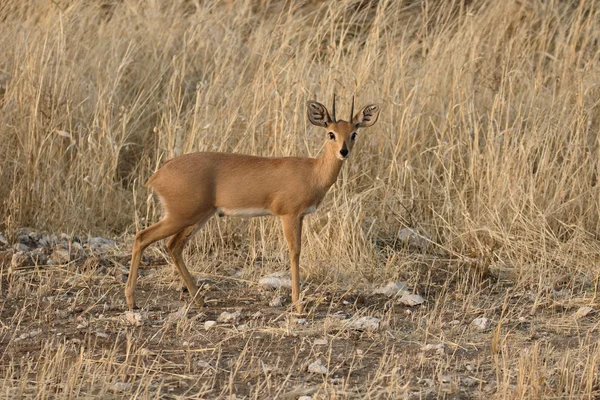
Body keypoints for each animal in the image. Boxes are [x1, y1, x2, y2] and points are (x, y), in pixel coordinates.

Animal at [125, 96, 382, 312]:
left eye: (353, 133)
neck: (312, 172)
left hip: (199, 217)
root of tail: (158, 174)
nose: (343, 152)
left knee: (173, 246)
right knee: (142, 237)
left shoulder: (300, 217)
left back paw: (199, 300)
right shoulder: (289, 215)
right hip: (181, 216)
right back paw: (132, 301)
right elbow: (295, 252)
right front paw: (298, 304)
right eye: (331, 133)